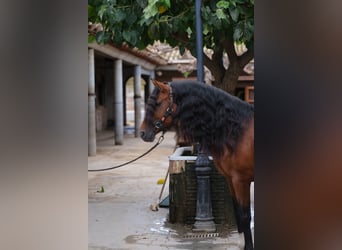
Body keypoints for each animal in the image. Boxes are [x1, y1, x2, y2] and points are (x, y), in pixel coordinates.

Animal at [140, 79, 254, 249]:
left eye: (158, 103)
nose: (142, 133)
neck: (238, 129)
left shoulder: (242, 181)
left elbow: (245, 216)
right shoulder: (231, 181)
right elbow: (239, 215)